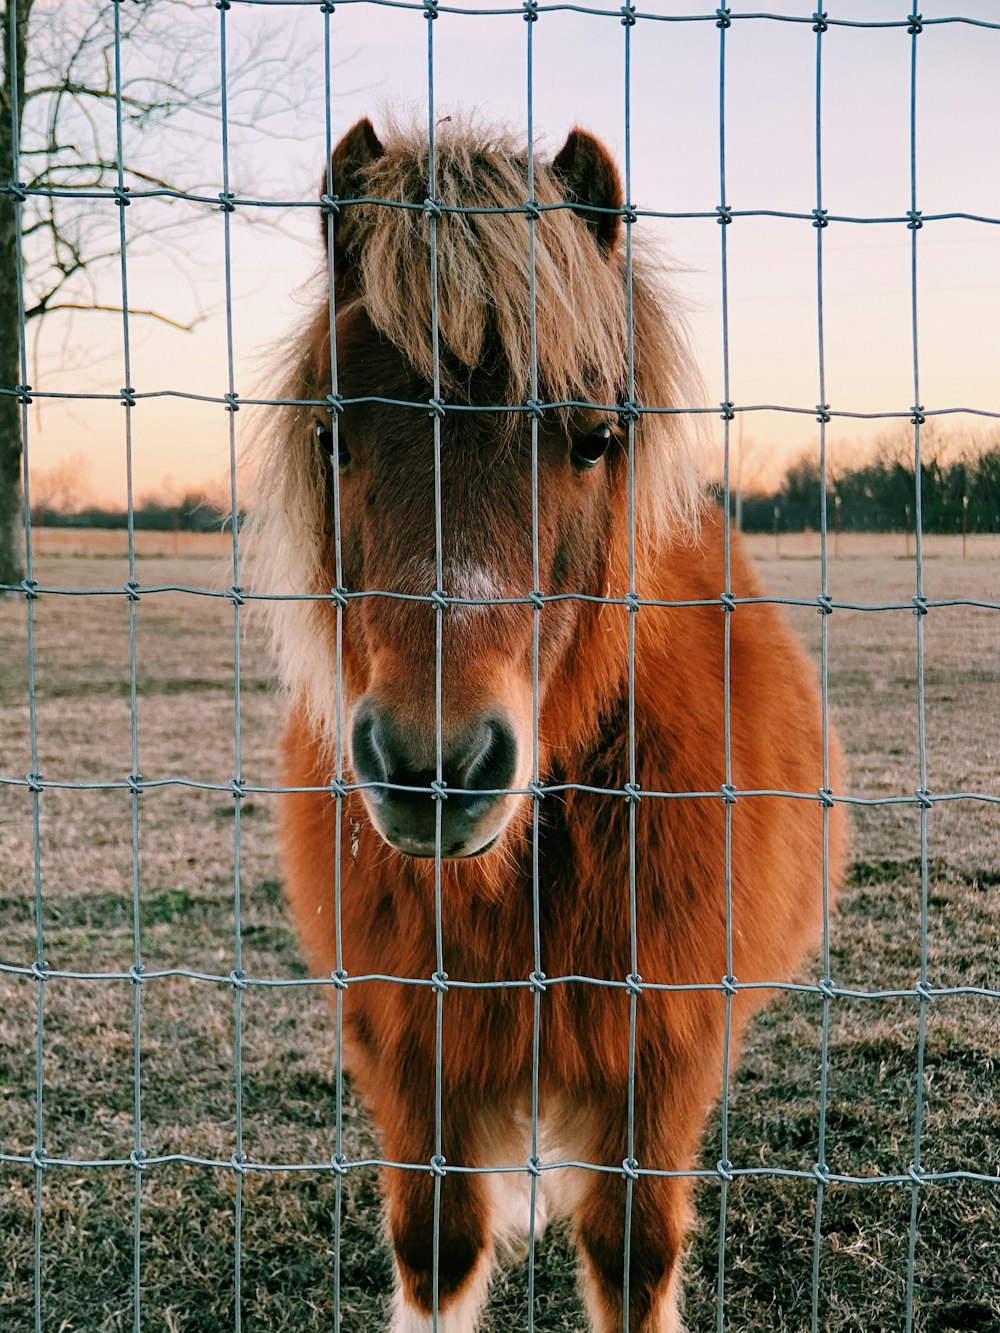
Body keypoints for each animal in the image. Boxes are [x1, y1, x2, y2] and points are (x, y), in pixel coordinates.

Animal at [250, 117, 848, 1333]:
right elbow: (436, 1248)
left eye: (593, 437)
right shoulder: (412, 1050)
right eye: (333, 436)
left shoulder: (656, 1059)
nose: (436, 765)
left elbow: (632, 1255)